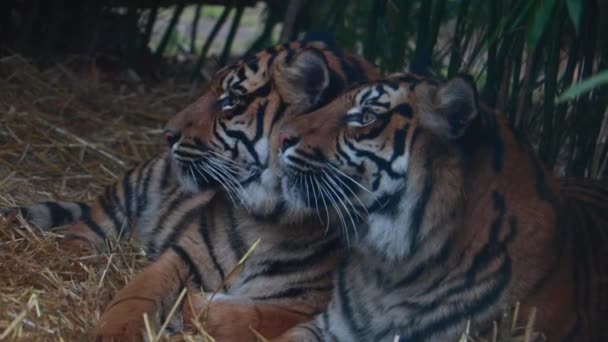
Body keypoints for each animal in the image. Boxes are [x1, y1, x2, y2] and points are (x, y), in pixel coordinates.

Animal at [2, 41, 378, 340]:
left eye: (231, 100)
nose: (167, 134)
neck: (270, 219)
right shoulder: (182, 255)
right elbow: (134, 298)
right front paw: (111, 333)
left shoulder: (310, 302)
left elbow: (252, 318)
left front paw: (193, 309)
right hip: (130, 190)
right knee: (83, 232)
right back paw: (74, 262)